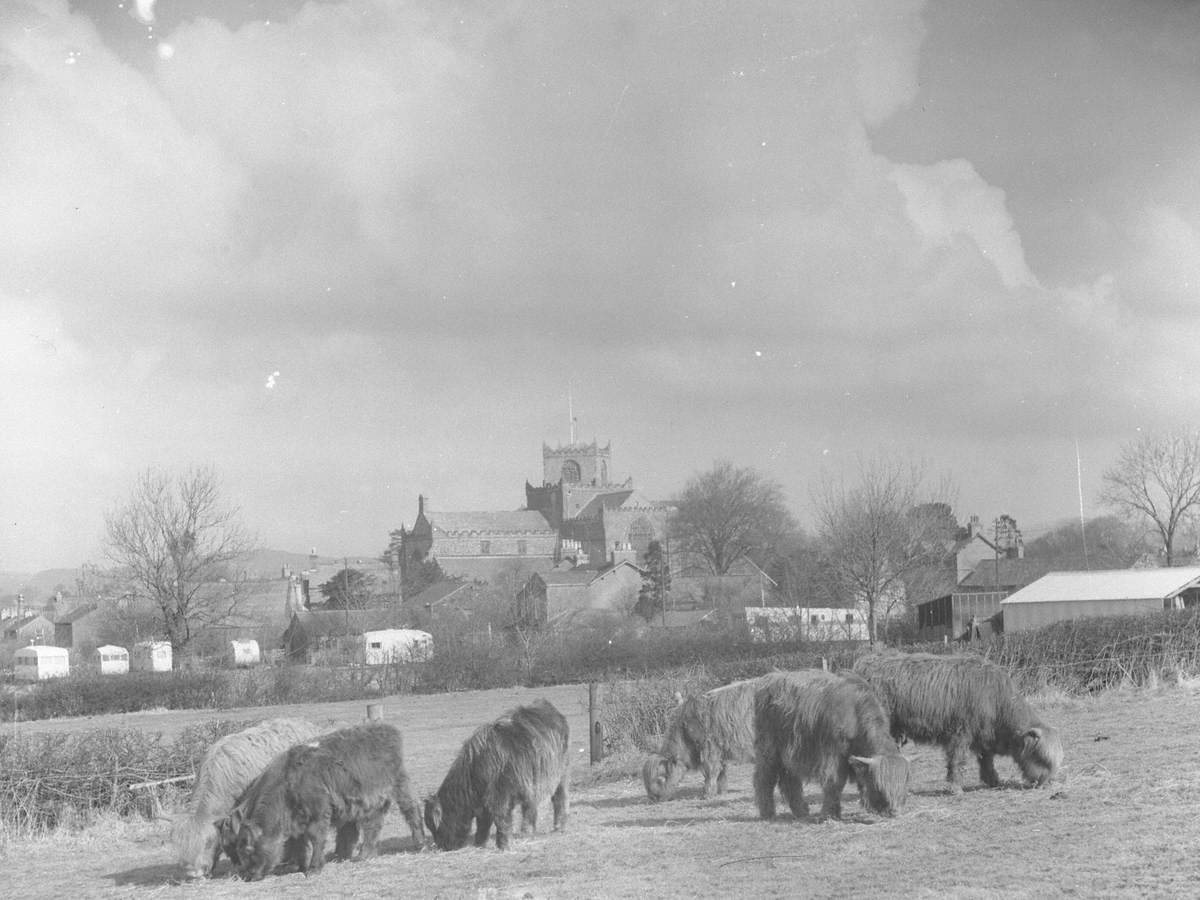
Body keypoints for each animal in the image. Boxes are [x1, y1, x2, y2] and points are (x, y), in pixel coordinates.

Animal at [230, 724, 427, 883]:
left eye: (248, 849)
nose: (248, 876)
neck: (288, 782)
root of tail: (385, 729)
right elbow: (296, 842)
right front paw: (294, 865)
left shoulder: (318, 811)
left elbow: (315, 836)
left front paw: (314, 868)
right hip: (371, 801)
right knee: (373, 824)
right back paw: (364, 854)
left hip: (398, 784)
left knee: (410, 809)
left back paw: (419, 843)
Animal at [422, 696, 571, 854]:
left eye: (436, 826)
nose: (442, 846)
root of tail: (547, 705)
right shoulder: (484, 804)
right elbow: (483, 823)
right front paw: (479, 843)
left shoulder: (501, 796)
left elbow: (501, 818)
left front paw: (504, 845)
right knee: (530, 807)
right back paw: (527, 831)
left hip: (560, 773)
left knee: (559, 798)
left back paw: (558, 827)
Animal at [753, 672, 902, 825]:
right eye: (879, 787)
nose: (894, 811)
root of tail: (769, 679)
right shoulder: (833, 755)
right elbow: (835, 782)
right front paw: (829, 815)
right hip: (769, 749)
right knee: (764, 778)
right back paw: (768, 813)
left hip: (789, 752)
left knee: (789, 779)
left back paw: (801, 811)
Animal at [849, 652, 1065, 792]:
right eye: (1040, 757)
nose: (1045, 783)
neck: (997, 700)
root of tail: (864, 663)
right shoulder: (960, 733)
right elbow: (957, 760)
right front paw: (955, 787)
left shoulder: (984, 735)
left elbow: (986, 760)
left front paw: (993, 781)